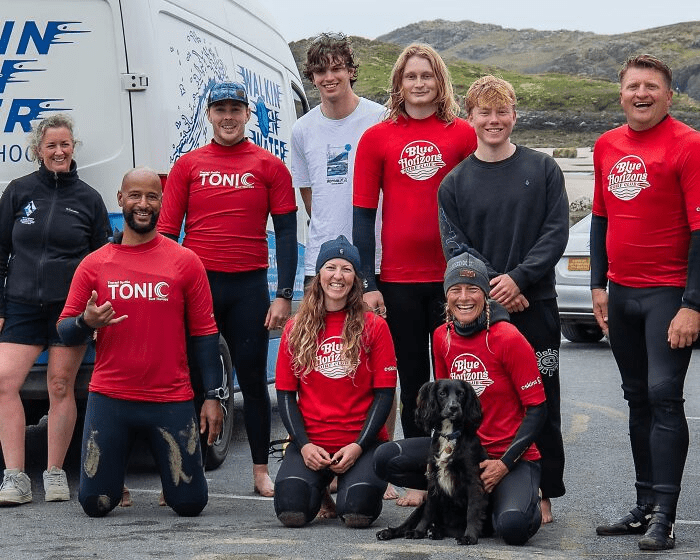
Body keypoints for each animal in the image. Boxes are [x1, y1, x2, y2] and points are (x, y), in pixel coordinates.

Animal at [378, 378, 486, 544]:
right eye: (442, 393)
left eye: (461, 393)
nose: (454, 407)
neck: (449, 434)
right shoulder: (433, 478)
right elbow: (428, 511)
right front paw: (418, 531)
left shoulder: (473, 479)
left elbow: (472, 510)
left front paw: (469, 536)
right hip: (420, 507)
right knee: (408, 523)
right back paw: (389, 532)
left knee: (449, 528)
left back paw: (435, 531)